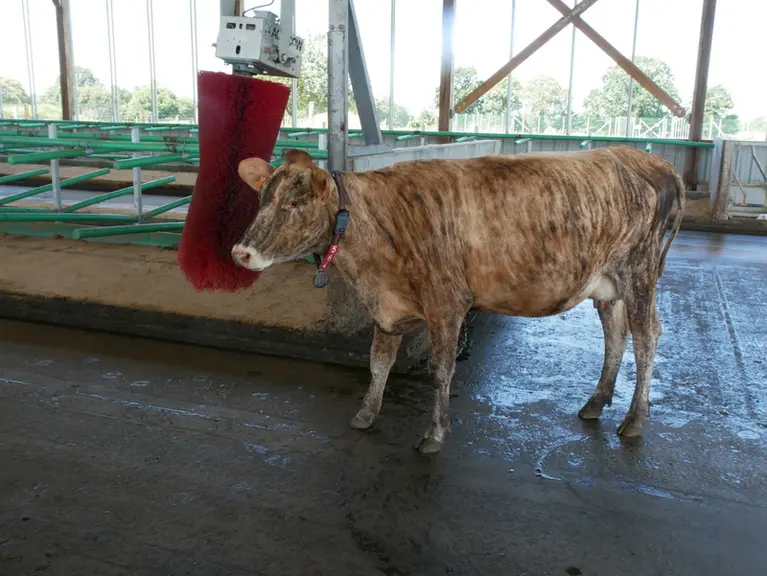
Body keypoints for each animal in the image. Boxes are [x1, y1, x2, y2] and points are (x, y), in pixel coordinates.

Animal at [230, 146, 685, 454]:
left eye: (294, 202)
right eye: (261, 198)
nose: (240, 252)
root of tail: (645, 159)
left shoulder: (447, 303)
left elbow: (441, 370)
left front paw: (434, 433)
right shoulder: (386, 307)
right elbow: (378, 362)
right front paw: (366, 413)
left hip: (640, 272)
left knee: (647, 337)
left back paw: (634, 420)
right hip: (608, 285)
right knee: (616, 334)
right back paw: (596, 402)